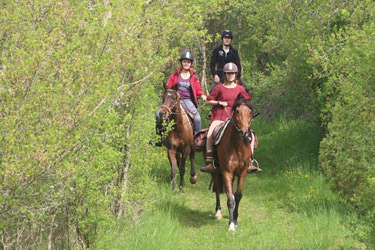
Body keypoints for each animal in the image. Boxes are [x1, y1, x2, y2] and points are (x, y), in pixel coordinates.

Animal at [207, 94, 254, 232]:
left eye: (250, 112)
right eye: (237, 111)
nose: (244, 132)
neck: (237, 145)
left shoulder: (243, 172)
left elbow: (237, 195)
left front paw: (235, 220)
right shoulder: (226, 171)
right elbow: (230, 198)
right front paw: (232, 226)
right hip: (215, 172)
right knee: (218, 189)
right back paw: (218, 213)